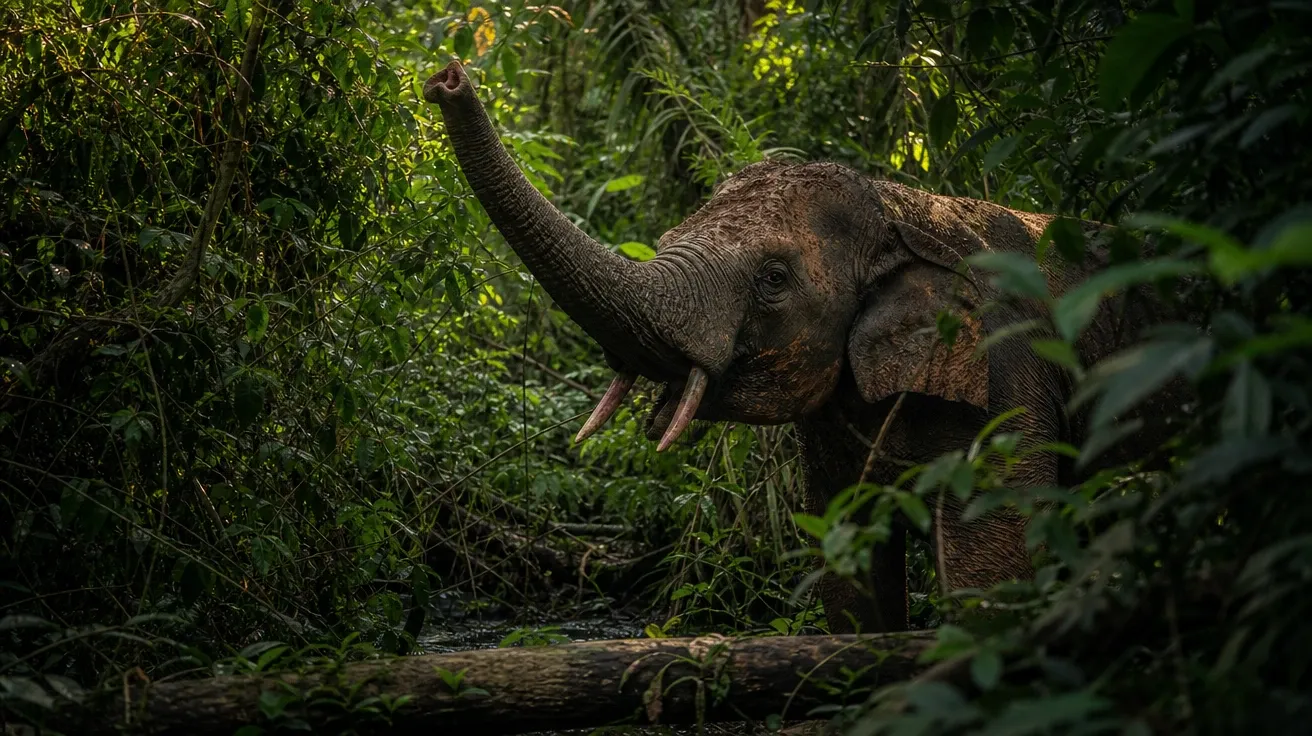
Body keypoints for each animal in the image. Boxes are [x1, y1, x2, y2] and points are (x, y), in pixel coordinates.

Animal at [423, 61, 1173, 634]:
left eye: (773, 279)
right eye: (664, 240)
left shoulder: (1011, 376)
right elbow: (846, 560)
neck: (904, 205)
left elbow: (996, 573)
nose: (446, 79)